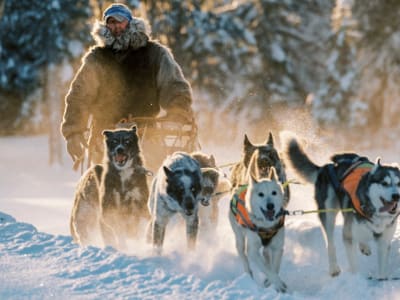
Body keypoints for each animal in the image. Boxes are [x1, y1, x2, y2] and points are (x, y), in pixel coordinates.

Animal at [282, 134, 400, 278]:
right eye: (384, 183)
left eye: (399, 183)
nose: (396, 196)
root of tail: (327, 167)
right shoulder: (348, 238)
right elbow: (353, 265)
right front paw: (355, 278)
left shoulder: (384, 240)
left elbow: (382, 269)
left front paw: (382, 279)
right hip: (328, 214)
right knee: (330, 244)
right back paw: (334, 268)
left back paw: (364, 246)